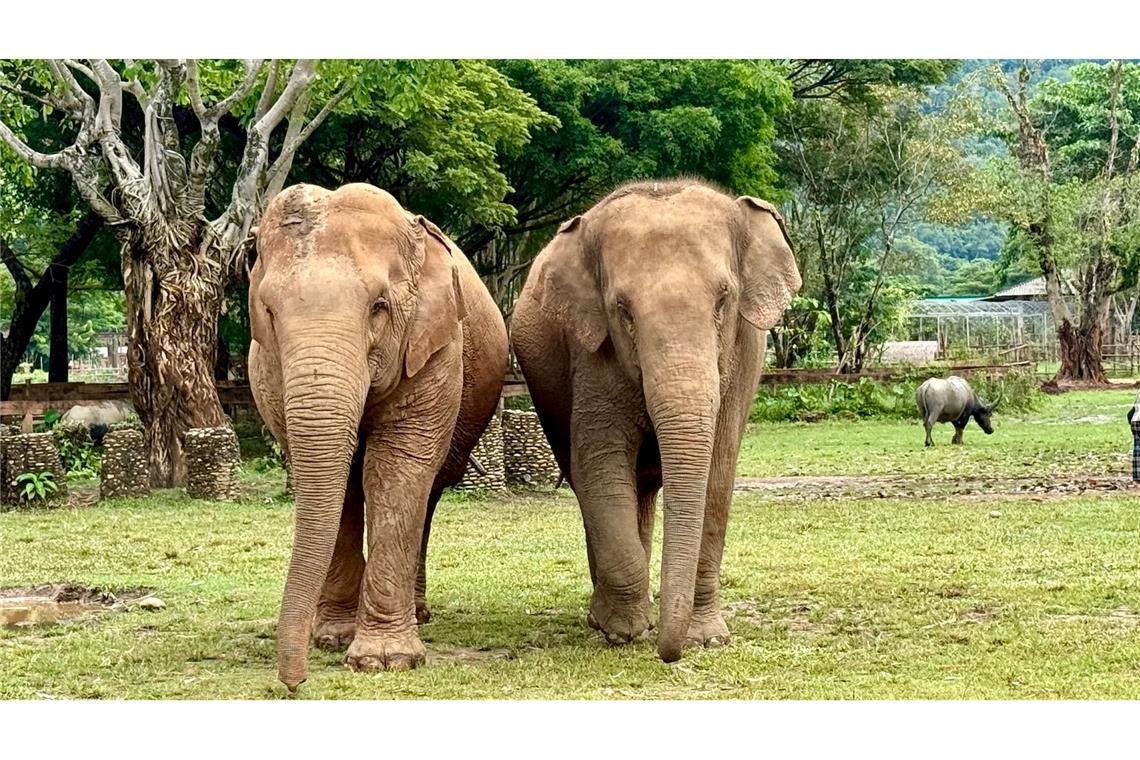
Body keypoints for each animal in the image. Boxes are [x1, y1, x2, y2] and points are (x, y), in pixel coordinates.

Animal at [248, 183, 508, 689]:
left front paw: (386, 661)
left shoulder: (435, 350)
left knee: (429, 491)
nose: (293, 683)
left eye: (378, 307)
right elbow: (337, 483)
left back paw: (419, 613)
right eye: (268, 310)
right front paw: (332, 638)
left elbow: (395, 470)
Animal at [510, 179, 801, 662]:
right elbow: (599, 466)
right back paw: (608, 616)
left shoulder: (743, 356)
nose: (670, 654)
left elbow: (718, 475)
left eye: (724, 299)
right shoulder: (591, 354)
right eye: (623, 310)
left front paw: (707, 638)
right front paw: (624, 632)